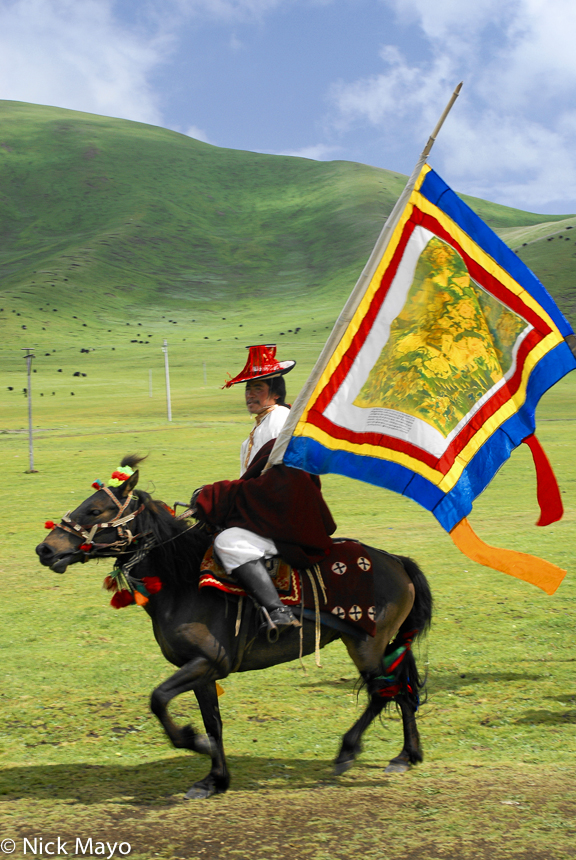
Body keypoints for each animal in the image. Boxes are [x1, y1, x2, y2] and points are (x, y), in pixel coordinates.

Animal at [37, 456, 432, 800]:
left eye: (95, 510)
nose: (45, 549)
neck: (180, 581)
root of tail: (395, 560)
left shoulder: (207, 662)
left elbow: (159, 699)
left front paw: (193, 742)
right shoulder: (203, 672)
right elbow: (213, 722)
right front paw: (215, 779)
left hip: (366, 645)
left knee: (382, 691)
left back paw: (349, 752)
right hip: (378, 645)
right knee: (400, 687)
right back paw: (406, 756)